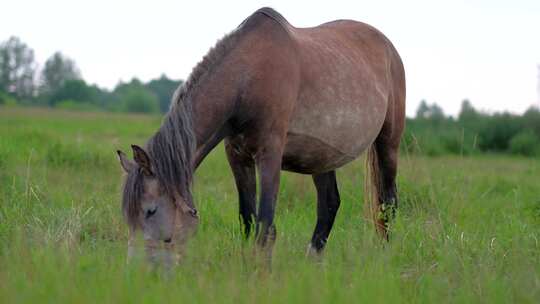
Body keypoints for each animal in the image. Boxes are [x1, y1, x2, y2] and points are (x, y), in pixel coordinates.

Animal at [117, 5, 404, 264]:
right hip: (321, 156)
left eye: (151, 211)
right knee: (329, 204)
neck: (247, 79)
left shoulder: (269, 155)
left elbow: (265, 224)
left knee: (388, 203)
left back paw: (385, 256)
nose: (136, 267)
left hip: (388, 143)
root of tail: (388, 47)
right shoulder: (237, 157)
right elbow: (247, 218)